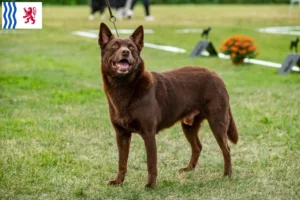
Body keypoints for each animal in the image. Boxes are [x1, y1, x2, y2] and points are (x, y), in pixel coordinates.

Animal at [99, 22, 239, 188]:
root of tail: (216, 75)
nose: (125, 52)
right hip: (189, 126)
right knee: (198, 146)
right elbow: (122, 162)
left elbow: (151, 163)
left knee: (226, 149)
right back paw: (189, 169)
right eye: (114, 46)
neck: (124, 87)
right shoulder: (121, 135)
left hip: (217, 122)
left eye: (131, 47)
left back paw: (227, 174)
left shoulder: (149, 134)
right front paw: (118, 181)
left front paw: (151, 185)